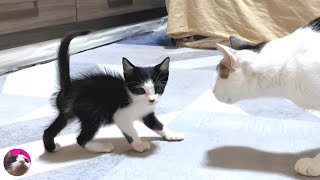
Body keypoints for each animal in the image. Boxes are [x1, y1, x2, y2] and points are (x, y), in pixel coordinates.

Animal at [42, 31, 184, 153]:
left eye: (157, 88)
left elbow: (158, 125)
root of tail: (69, 87)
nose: (152, 100)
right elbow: (132, 131)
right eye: (140, 90)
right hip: (93, 111)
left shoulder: (146, 113)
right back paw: (103, 147)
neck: (134, 98)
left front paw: (172, 134)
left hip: (68, 114)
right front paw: (139, 145)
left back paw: (51, 147)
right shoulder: (121, 115)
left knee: (49, 130)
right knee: (81, 139)